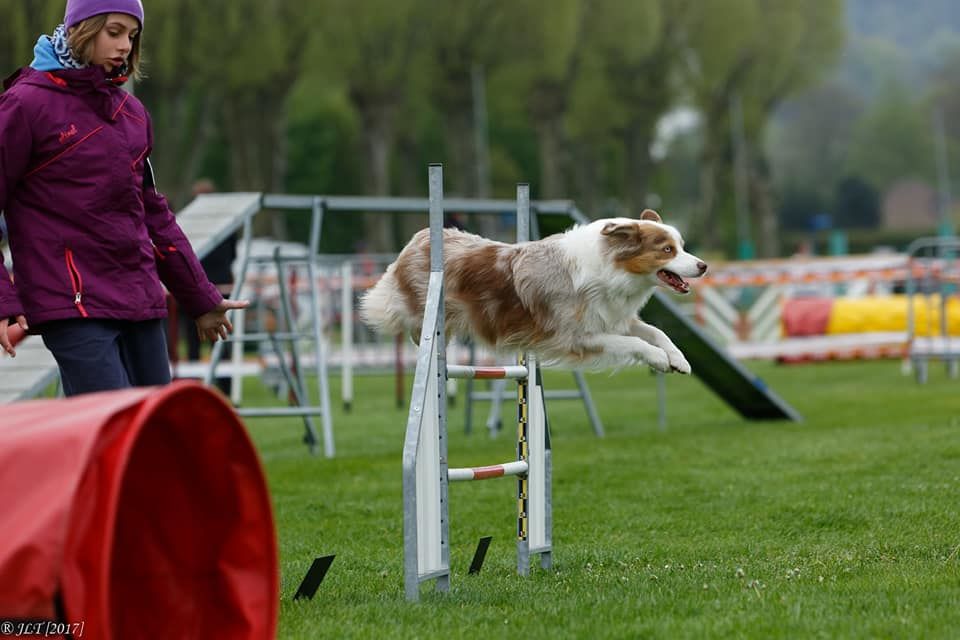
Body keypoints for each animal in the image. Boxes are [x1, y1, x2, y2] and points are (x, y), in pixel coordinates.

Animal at [359, 209, 707, 372]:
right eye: (667, 250)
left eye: (682, 246)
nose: (703, 265)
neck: (610, 271)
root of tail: (418, 239)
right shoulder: (576, 336)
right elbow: (635, 342)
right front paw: (659, 359)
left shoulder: (612, 316)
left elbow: (657, 332)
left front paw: (679, 360)